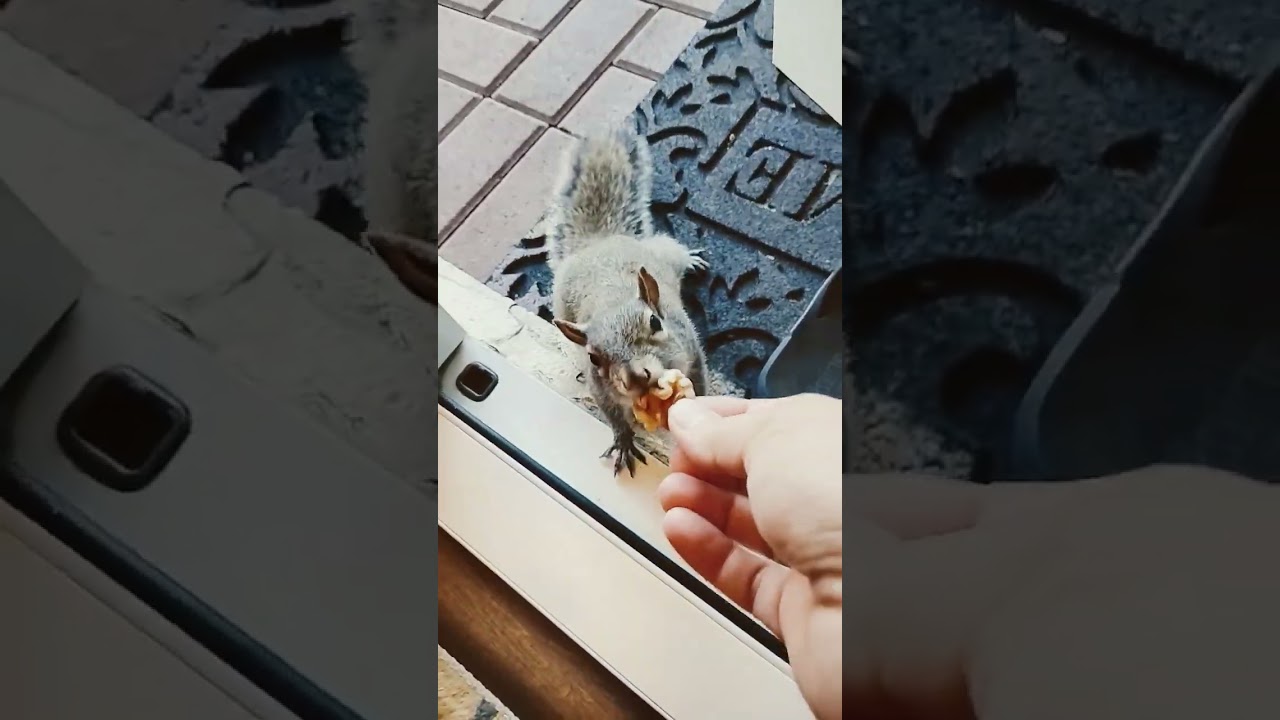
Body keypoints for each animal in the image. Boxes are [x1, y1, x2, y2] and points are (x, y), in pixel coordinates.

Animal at [548, 121, 711, 476]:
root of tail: (599, 241)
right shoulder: (601, 387)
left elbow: (699, 379)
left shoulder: (691, 349)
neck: (611, 302)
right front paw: (623, 440)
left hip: (664, 252)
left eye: (655, 322)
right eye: (594, 358)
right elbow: (611, 412)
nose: (637, 376)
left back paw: (691, 259)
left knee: (673, 251)